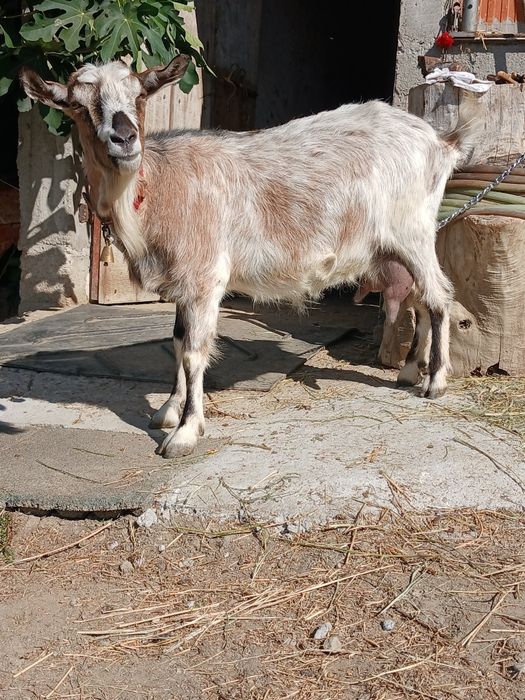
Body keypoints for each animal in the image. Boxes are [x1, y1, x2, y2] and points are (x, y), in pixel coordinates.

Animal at [20, 55, 480, 458]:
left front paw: (185, 433)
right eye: (78, 106)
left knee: (438, 297)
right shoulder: (185, 281)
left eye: (140, 96)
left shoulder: (205, 276)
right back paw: (410, 370)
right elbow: (177, 341)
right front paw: (167, 410)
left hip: (413, 230)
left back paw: (435, 382)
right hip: (397, 245)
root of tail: (441, 143)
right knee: (420, 301)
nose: (125, 139)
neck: (158, 187)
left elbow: (193, 352)